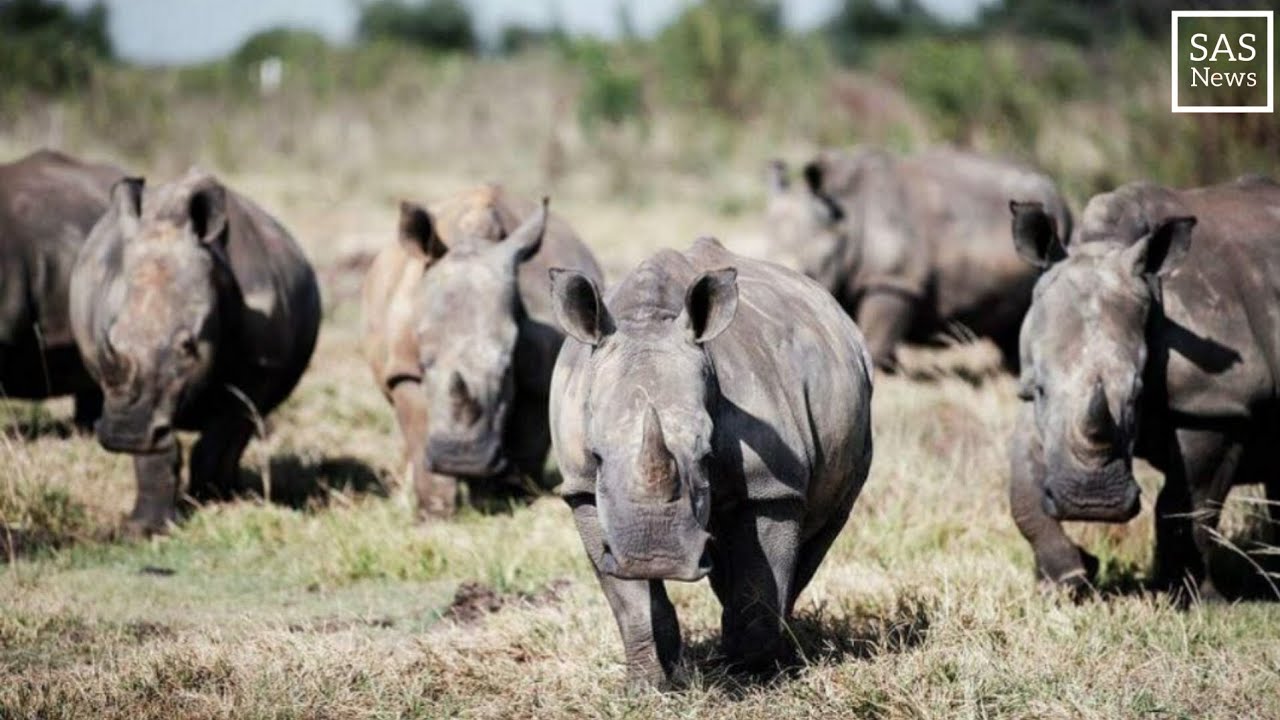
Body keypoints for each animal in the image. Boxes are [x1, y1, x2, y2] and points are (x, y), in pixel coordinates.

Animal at [70, 170, 321, 533]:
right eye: (111, 338)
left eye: (188, 346)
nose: (123, 433)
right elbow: (156, 450)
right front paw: (144, 530)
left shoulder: (258, 369)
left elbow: (221, 435)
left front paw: (212, 505)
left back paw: (227, 492)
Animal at [361, 185, 603, 517]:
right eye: (424, 363)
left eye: (506, 368)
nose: (463, 459)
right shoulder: (403, 368)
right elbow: (419, 430)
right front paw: (435, 513)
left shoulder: (540, 373)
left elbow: (528, 440)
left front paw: (504, 500)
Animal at [548, 237, 874, 689]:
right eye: (596, 455)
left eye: (706, 455)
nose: (657, 558)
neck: (649, 317)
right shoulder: (581, 489)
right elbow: (632, 601)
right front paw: (649, 685)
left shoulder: (770, 485)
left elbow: (758, 585)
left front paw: (751, 679)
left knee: (822, 529)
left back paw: (779, 652)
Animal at [1008, 176, 1280, 598]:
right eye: (1040, 389)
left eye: (1138, 393)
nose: (1091, 503)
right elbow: (1022, 487)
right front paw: (1068, 579)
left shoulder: (1215, 404)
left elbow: (1189, 505)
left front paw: (1194, 599)